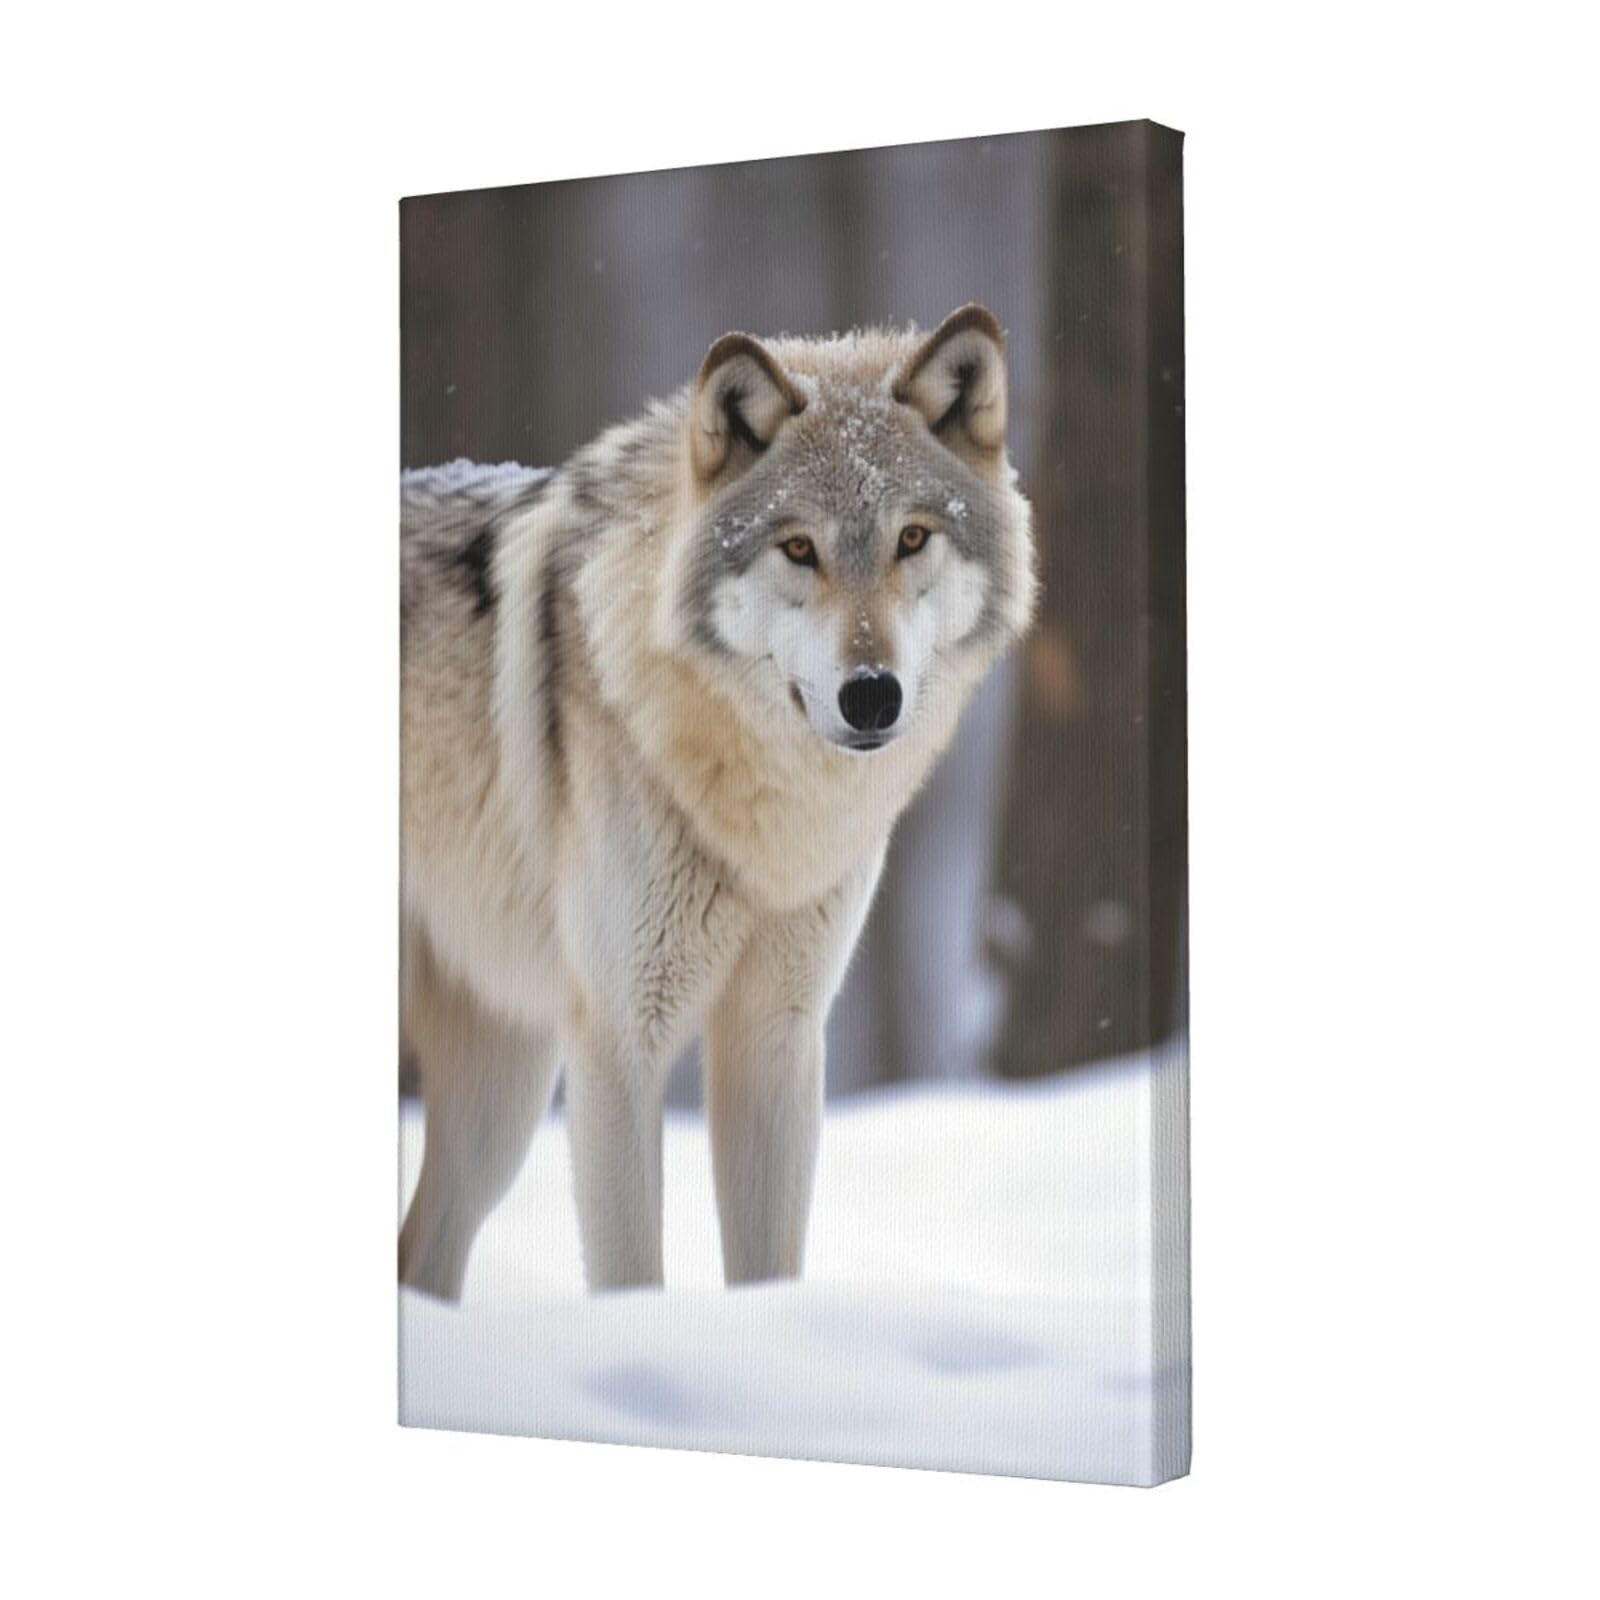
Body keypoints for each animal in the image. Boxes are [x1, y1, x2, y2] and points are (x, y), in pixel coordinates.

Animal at [399, 305, 1037, 1298]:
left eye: (913, 538)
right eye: (799, 547)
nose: (872, 695)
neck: (764, 822)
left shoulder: (775, 1040)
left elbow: (768, 1268)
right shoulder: (619, 1042)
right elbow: (631, 1277)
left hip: (501, 1098)